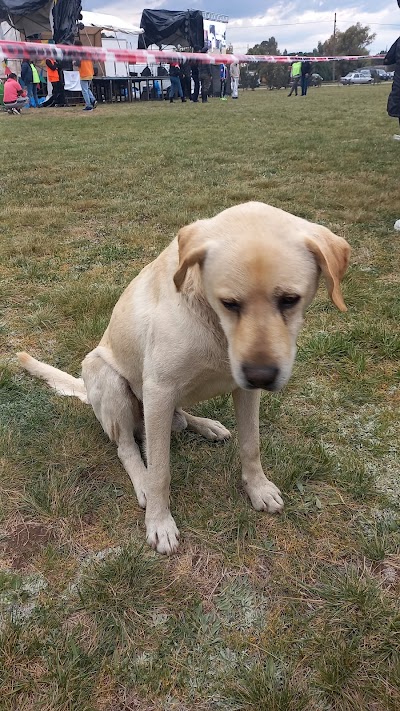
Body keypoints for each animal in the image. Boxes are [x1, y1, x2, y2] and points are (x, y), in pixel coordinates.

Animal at [18, 202, 350, 556]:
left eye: (289, 299)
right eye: (229, 303)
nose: (261, 376)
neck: (215, 326)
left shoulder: (244, 391)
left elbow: (251, 445)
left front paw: (258, 488)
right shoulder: (159, 390)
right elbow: (160, 471)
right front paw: (159, 522)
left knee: (178, 419)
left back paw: (206, 425)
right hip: (107, 377)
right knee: (127, 447)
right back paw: (142, 481)